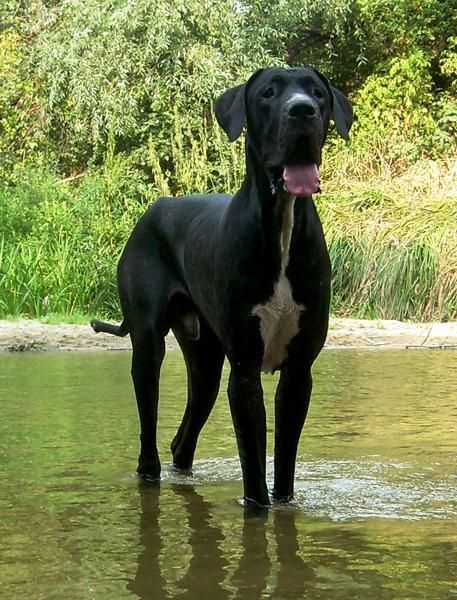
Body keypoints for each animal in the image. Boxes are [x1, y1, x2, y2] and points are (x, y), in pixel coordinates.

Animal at [92, 66, 353, 506]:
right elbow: (254, 468)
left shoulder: (299, 372)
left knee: (183, 439)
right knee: (149, 435)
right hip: (148, 346)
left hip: (206, 360)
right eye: (268, 93)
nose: (302, 110)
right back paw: (149, 471)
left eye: (318, 93)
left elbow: (283, 467)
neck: (281, 223)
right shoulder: (245, 371)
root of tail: (155, 208)